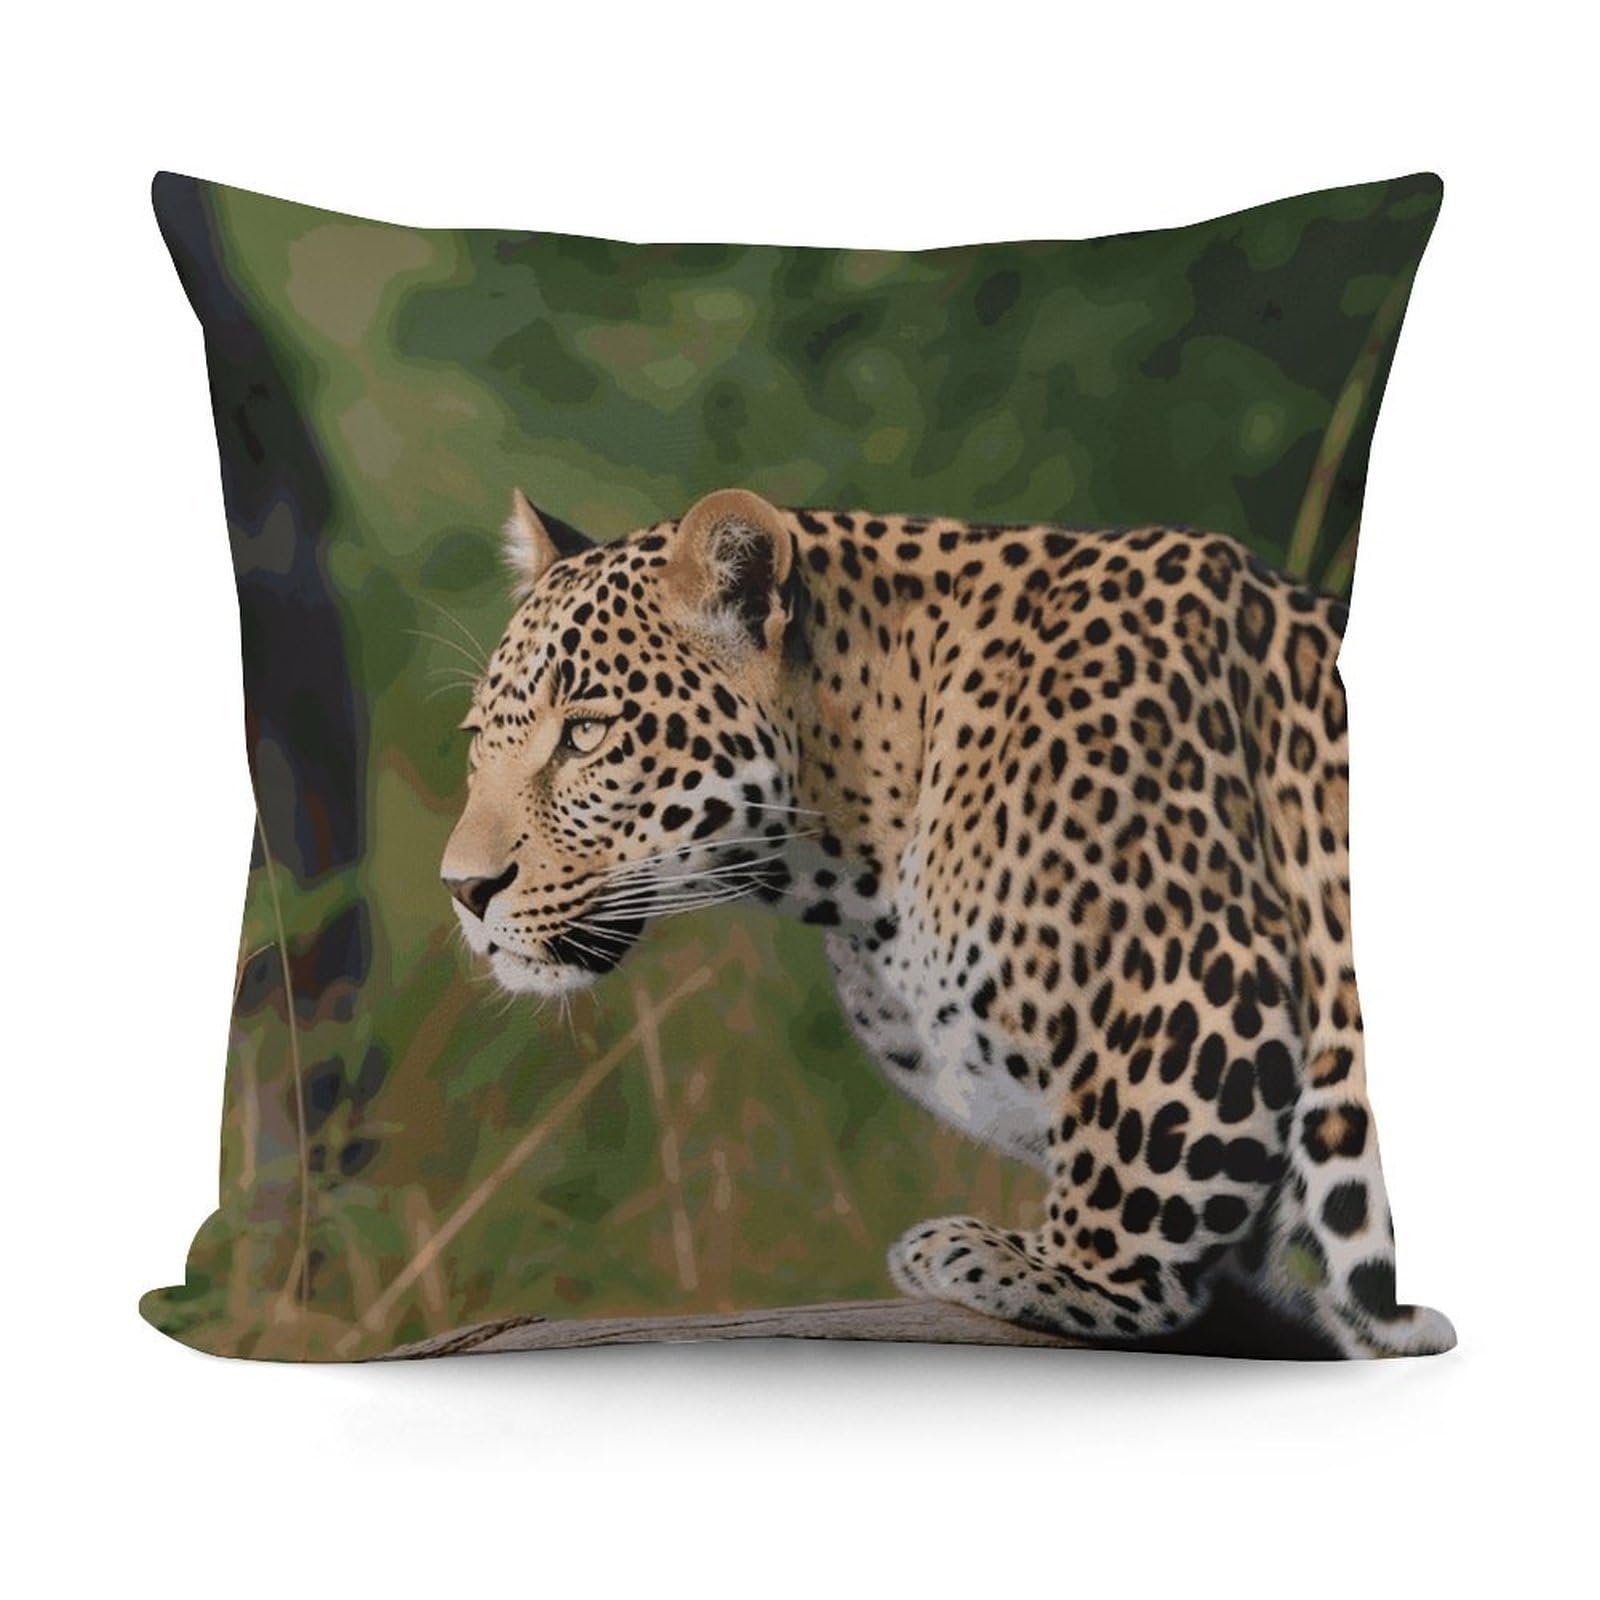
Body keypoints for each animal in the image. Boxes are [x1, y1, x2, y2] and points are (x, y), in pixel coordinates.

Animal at [441, 485, 1455, 1358]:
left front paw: (1053, 1270)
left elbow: (1139, 1166)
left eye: (586, 734)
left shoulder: (1202, 976)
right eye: (478, 741)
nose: (463, 888)